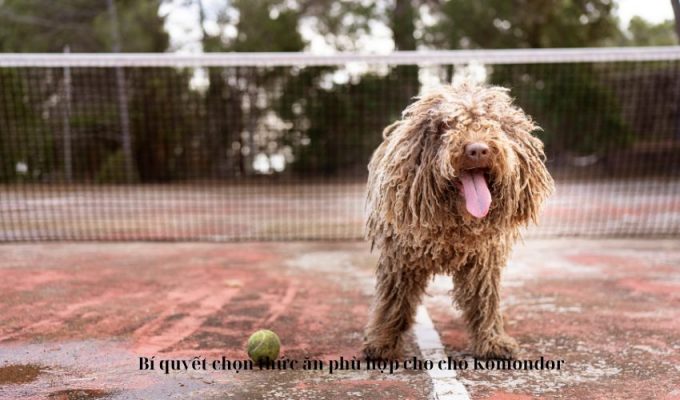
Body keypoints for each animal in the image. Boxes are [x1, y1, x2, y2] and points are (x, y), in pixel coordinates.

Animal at [362, 81, 552, 360]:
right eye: (445, 125)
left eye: (493, 122)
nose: (478, 149)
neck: (456, 223)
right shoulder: (401, 259)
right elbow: (393, 301)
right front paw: (382, 342)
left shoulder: (483, 263)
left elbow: (484, 302)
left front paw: (492, 341)